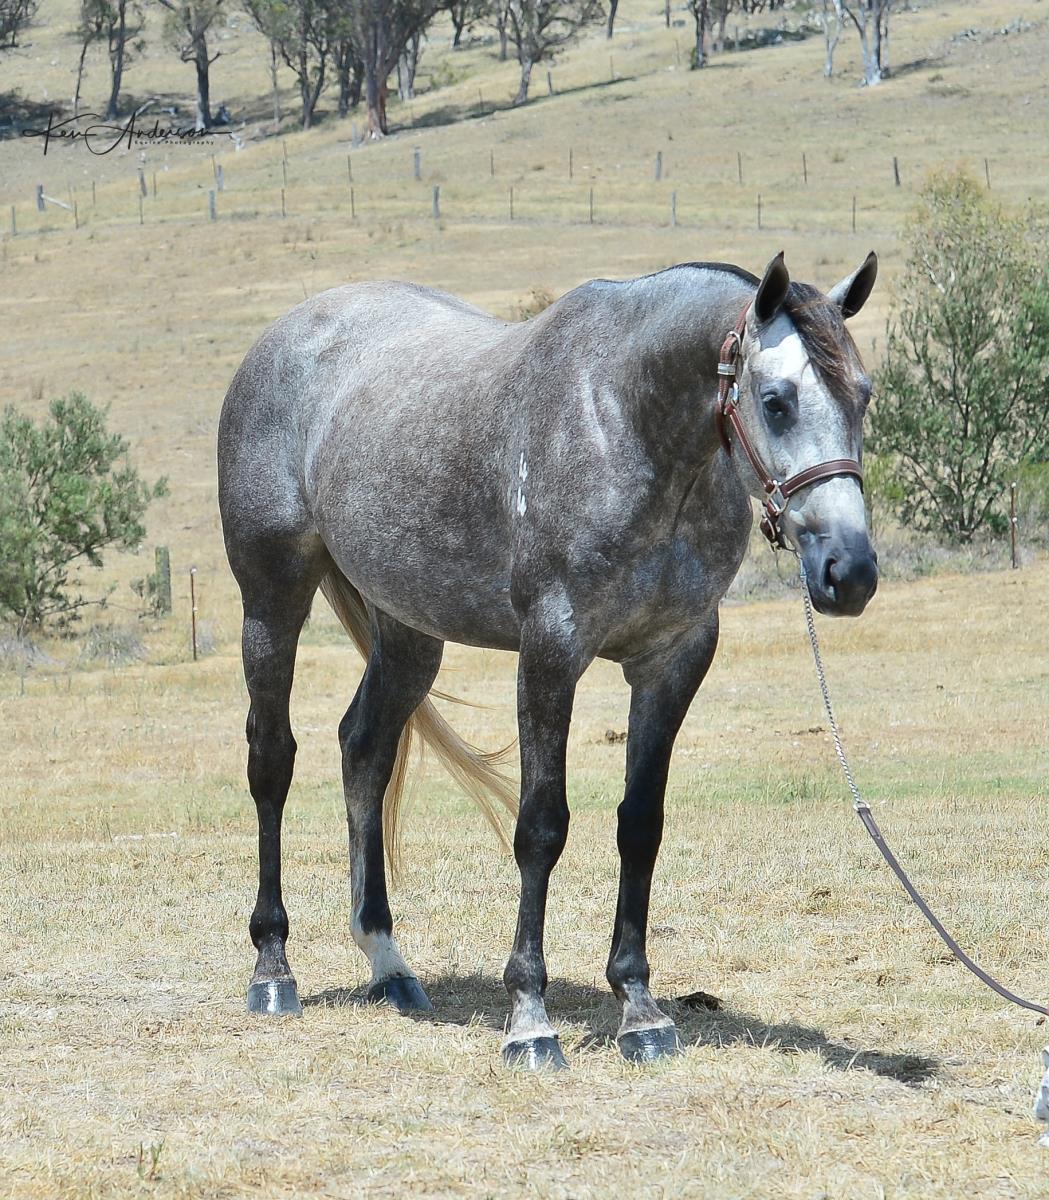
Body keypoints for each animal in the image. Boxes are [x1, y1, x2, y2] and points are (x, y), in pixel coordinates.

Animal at [217, 250, 880, 1069]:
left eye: (862, 396)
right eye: (776, 401)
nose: (850, 572)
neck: (623, 424)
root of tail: (287, 334)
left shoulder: (672, 660)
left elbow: (640, 824)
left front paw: (639, 1008)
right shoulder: (551, 651)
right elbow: (541, 826)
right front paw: (529, 1019)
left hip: (408, 632)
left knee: (363, 750)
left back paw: (388, 962)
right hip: (272, 597)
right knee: (271, 762)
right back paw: (272, 967)